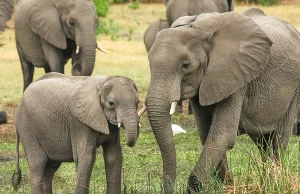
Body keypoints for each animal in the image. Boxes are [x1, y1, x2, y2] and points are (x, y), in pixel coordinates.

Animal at [11, 72, 142, 193]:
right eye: (111, 103)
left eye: (137, 103)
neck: (102, 83)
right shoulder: (79, 123)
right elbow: (86, 157)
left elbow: (113, 156)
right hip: (26, 127)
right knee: (38, 164)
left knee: (50, 168)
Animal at [146, 8, 300, 193]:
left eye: (185, 65)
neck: (197, 29)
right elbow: (207, 134)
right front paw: (226, 187)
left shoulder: (236, 75)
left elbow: (222, 135)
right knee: (262, 140)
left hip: (295, 88)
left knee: (279, 138)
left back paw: (274, 183)